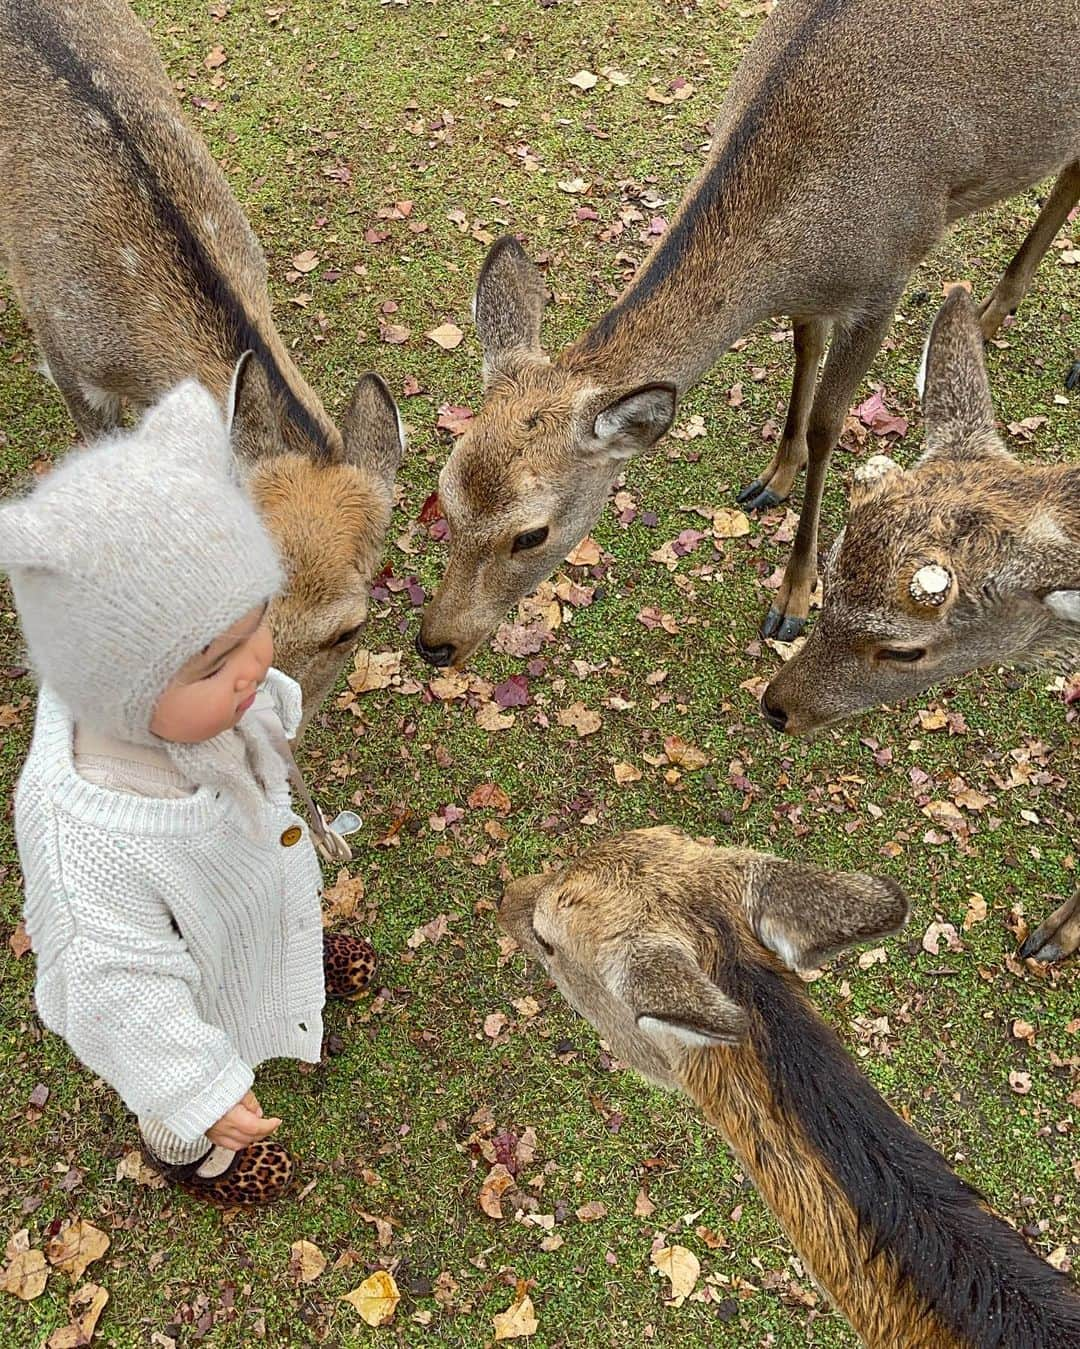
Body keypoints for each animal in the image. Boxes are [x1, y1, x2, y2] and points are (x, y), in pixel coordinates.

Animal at [415, 0, 1078, 671]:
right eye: (443, 493)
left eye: (531, 534)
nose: (434, 644)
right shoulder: (816, 297)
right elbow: (803, 356)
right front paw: (771, 481)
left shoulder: (887, 277)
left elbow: (829, 425)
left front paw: (793, 598)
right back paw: (989, 319)